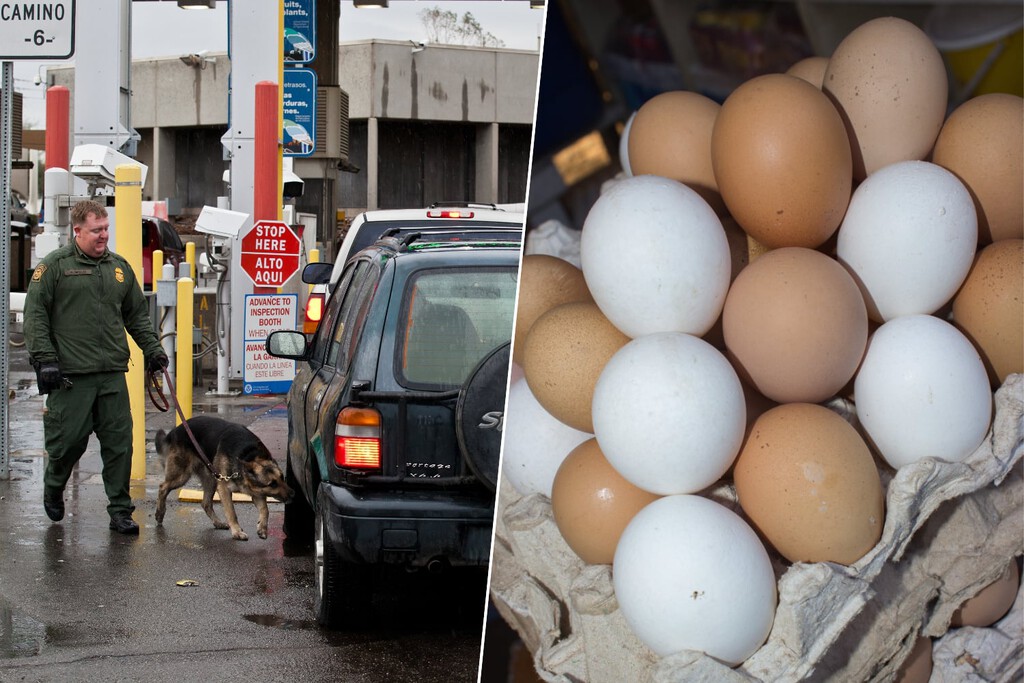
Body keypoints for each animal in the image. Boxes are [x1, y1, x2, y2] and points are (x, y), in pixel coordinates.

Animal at [153, 413, 294, 540]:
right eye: (272, 484)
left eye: (282, 477)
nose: (293, 494)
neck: (246, 455)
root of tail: (176, 429)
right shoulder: (224, 489)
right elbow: (231, 512)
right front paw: (237, 532)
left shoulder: (257, 493)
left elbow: (265, 509)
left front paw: (262, 528)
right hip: (182, 475)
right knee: (163, 487)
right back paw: (160, 513)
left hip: (211, 479)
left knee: (205, 503)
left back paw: (218, 523)